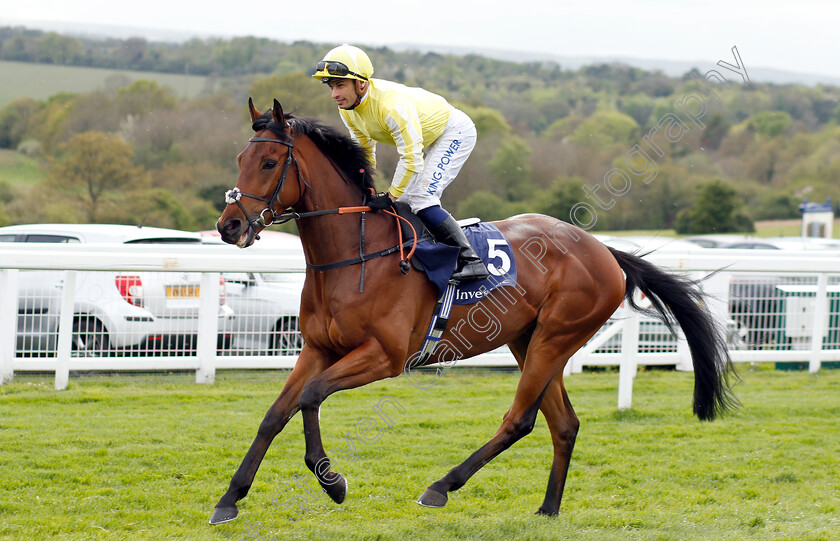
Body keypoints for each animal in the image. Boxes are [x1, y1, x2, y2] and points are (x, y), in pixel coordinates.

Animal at [210, 99, 736, 520]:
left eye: (270, 161)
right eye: (239, 158)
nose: (229, 226)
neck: (355, 256)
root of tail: (604, 250)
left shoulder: (385, 356)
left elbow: (311, 395)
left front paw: (332, 482)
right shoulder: (317, 349)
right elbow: (275, 413)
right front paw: (229, 499)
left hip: (555, 338)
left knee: (520, 419)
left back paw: (441, 486)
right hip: (528, 340)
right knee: (563, 423)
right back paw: (548, 509)